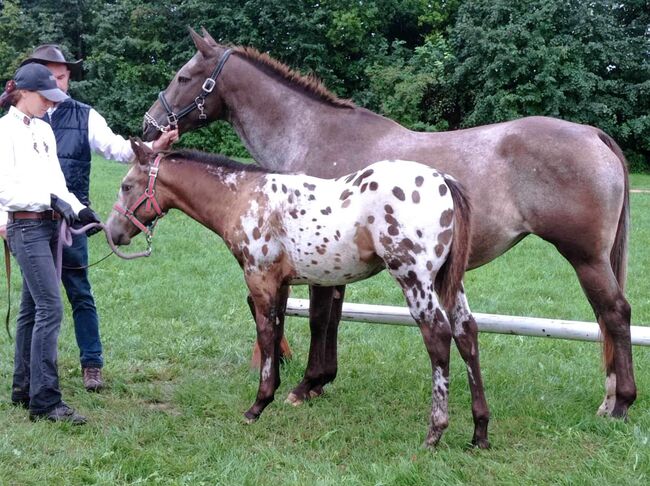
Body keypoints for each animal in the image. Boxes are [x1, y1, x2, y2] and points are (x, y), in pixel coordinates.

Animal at [106, 138, 476, 448]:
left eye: (126, 186)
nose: (112, 232)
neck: (242, 197)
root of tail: (443, 180)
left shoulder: (260, 280)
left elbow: (267, 334)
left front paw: (258, 405)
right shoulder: (282, 284)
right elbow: (280, 330)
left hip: (414, 279)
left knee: (438, 336)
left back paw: (435, 432)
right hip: (448, 283)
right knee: (467, 332)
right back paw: (479, 433)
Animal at [142, 28, 632, 420]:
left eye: (184, 77)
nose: (149, 127)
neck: (315, 133)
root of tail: (593, 133)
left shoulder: (317, 264)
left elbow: (318, 320)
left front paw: (306, 384)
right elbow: (332, 321)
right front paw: (320, 381)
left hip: (586, 258)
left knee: (615, 314)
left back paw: (618, 403)